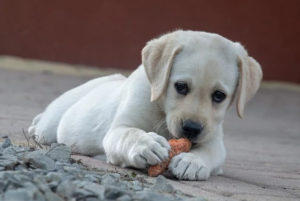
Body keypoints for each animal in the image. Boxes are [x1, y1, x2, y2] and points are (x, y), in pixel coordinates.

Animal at [28, 30, 262, 181]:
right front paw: (147, 144)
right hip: (51, 126)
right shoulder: (118, 129)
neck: (162, 111)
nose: (192, 128)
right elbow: (130, 133)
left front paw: (192, 161)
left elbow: (210, 152)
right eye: (180, 86)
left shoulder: (214, 139)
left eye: (219, 96)